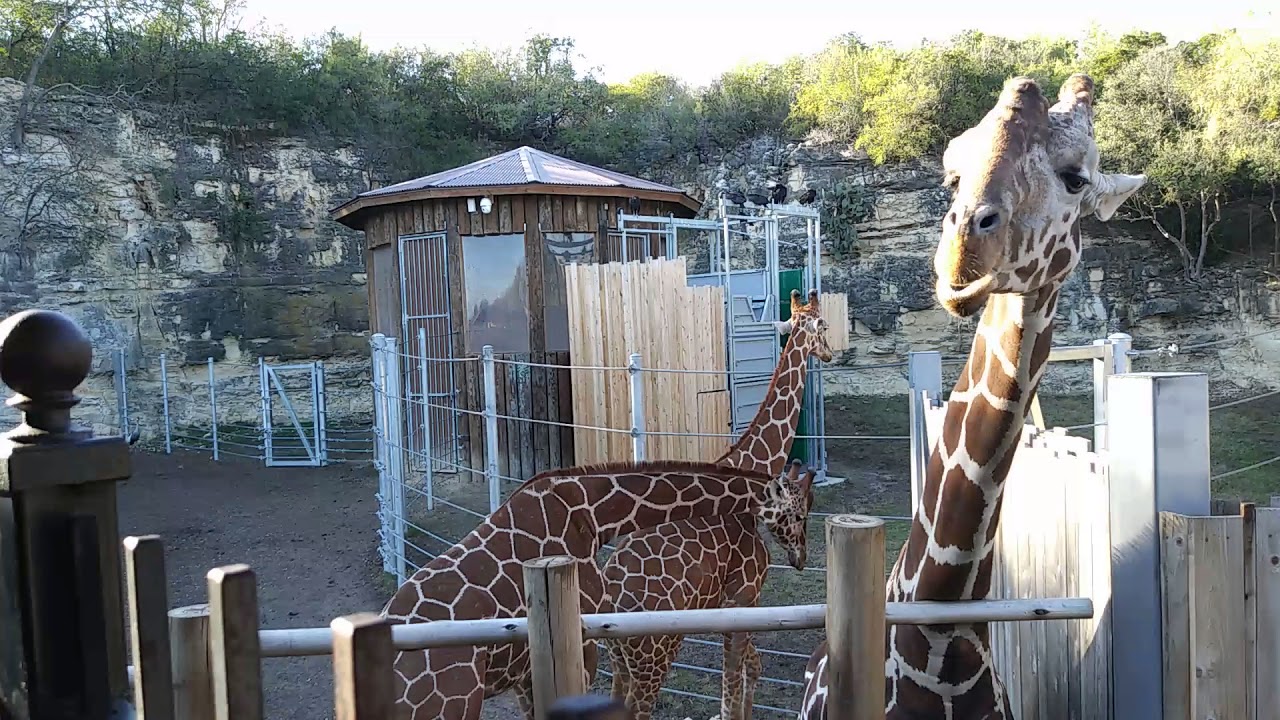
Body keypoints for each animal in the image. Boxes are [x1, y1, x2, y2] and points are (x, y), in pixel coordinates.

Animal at [380, 459, 814, 720]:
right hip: (450, 706)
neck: (592, 516)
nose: (801, 557)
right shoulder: (583, 647)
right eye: (798, 514)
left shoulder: (524, 674)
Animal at [603, 288, 831, 720]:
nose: (829, 353)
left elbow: (750, 671)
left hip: (620, 659)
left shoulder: (731, 607)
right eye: (824, 325)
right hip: (653, 657)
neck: (749, 467)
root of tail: (607, 595)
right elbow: (731, 693)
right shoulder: (743, 597)